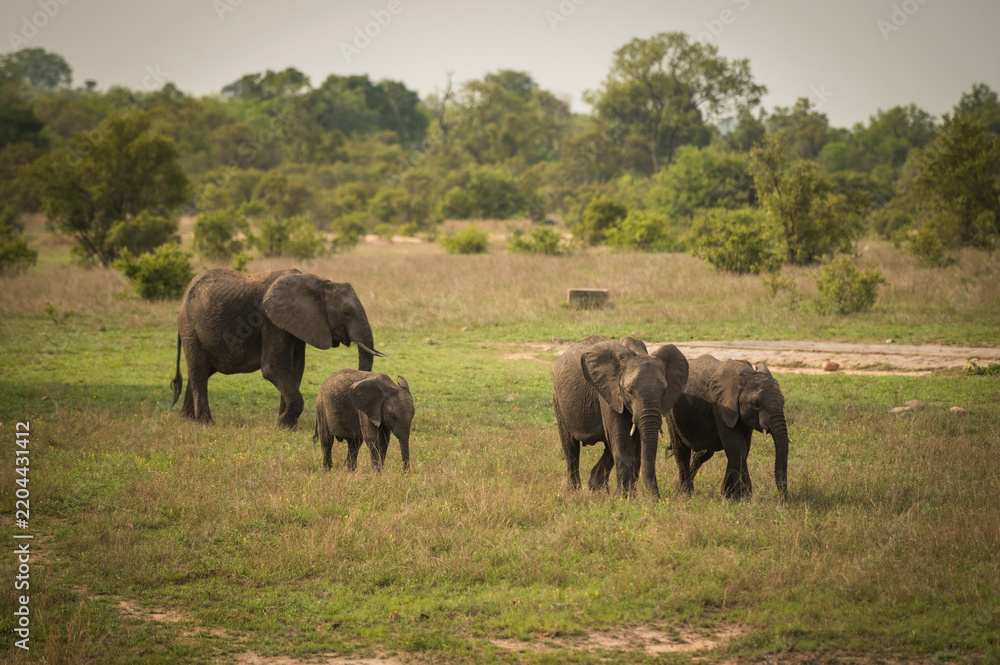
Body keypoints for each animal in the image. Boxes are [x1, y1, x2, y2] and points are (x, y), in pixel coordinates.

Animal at [171, 268, 383, 429]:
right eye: (346, 313)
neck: (319, 283)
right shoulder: (270, 321)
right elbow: (273, 368)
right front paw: (284, 423)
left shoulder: (298, 323)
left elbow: (295, 369)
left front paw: (287, 426)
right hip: (191, 329)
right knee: (199, 370)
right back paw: (206, 424)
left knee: (200, 371)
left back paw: (187, 420)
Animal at [552, 335, 689, 498]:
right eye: (629, 391)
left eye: (664, 392)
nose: (657, 500)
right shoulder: (608, 394)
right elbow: (622, 441)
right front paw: (622, 498)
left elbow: (636, 446)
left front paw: (631, 497)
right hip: (558, 400)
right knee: (571, 448)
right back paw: (575, 493)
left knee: (608, 447)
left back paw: (598, 490)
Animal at [665, 355, 789, 501]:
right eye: (756, 405)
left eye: (783, 402)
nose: (782, 501)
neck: (747, 375)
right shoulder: (721, 406)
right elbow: (736, 446)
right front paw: (744, 499)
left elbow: (742, 447)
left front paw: (729, 498)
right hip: (671, 412)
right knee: (681, 450)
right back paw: (685, 495)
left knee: (703, 453)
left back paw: (677, 487)